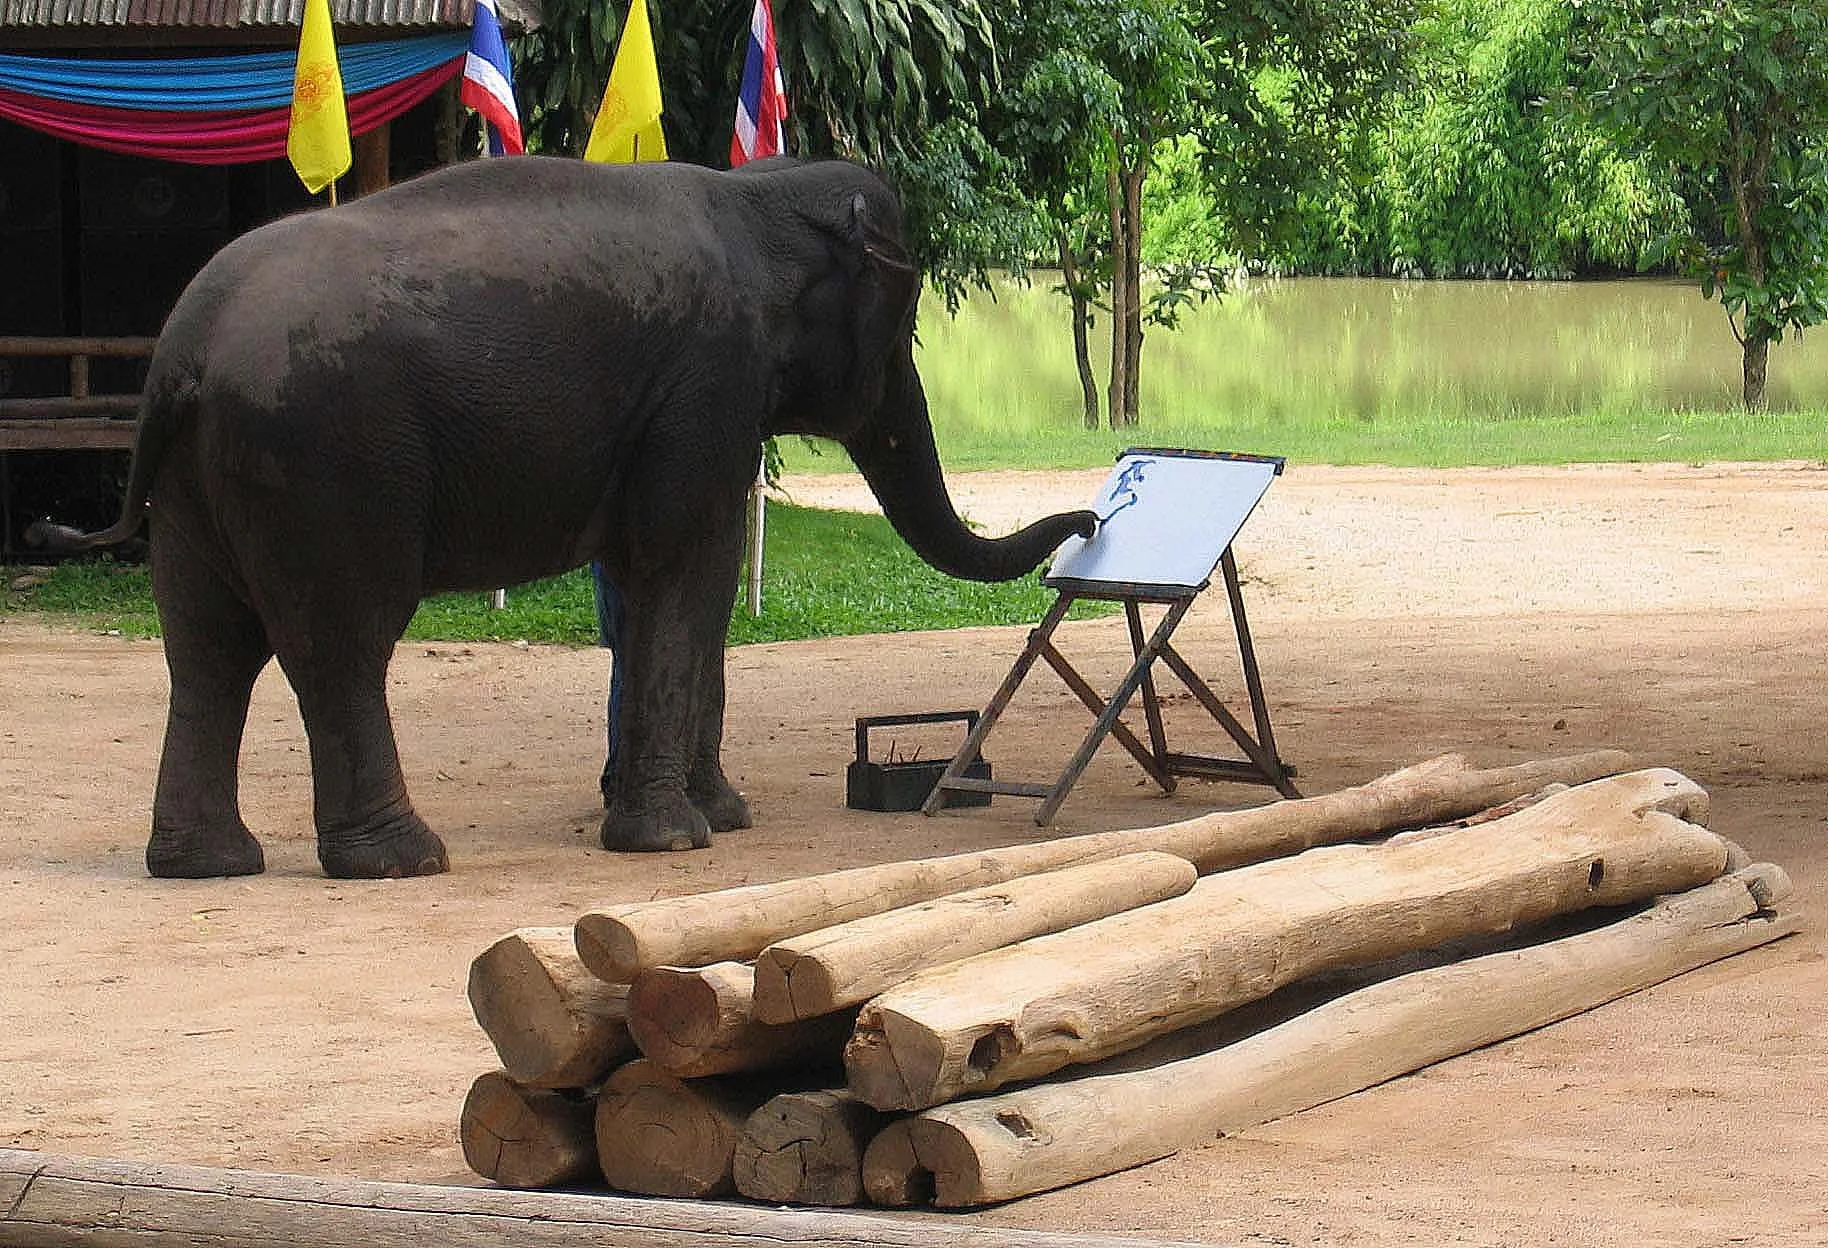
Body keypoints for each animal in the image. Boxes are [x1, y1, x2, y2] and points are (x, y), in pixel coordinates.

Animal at [33, 156, 1098, 880]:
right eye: (903, 328)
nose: (1090, 516)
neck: (758, 193)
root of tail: (181, 352)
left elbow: (660, 582)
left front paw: (709, 814)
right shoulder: (706, 382)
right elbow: (685, 570)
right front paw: (677, 839)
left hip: (197, 482)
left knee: (208, 650)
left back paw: (205, 865)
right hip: (325, 463)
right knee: (339, 645)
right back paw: (403, 860)